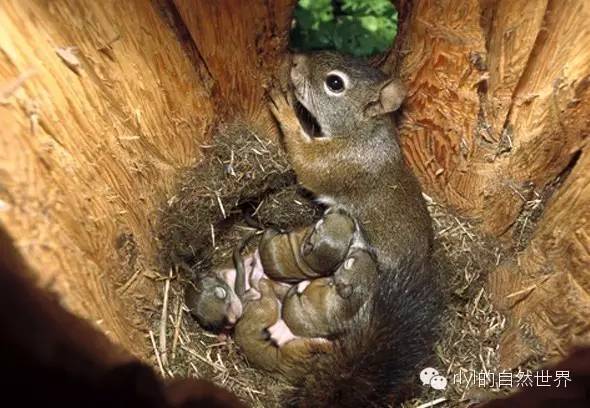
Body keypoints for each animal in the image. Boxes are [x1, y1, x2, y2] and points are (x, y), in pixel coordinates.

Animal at [270, 51, 444, 408]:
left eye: (335, 83)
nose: (296, 60)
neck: (363, 132)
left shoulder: (339, 165)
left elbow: (305, 163)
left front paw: (285, 110)